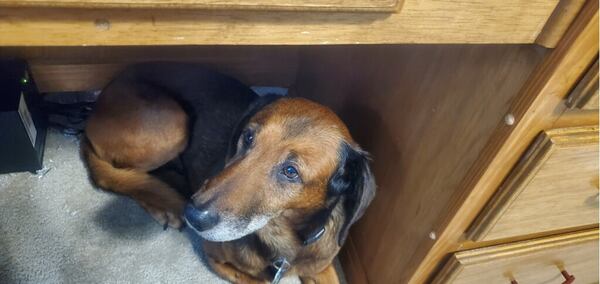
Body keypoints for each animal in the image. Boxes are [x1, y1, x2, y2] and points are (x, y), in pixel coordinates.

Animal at [82, 62, 376, 284]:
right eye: (248, 137)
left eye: (291, 171)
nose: (194, 216)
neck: (284, 240)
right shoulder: (218, 260)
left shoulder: (321, 267)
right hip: (172, 127)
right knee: (112, 169)